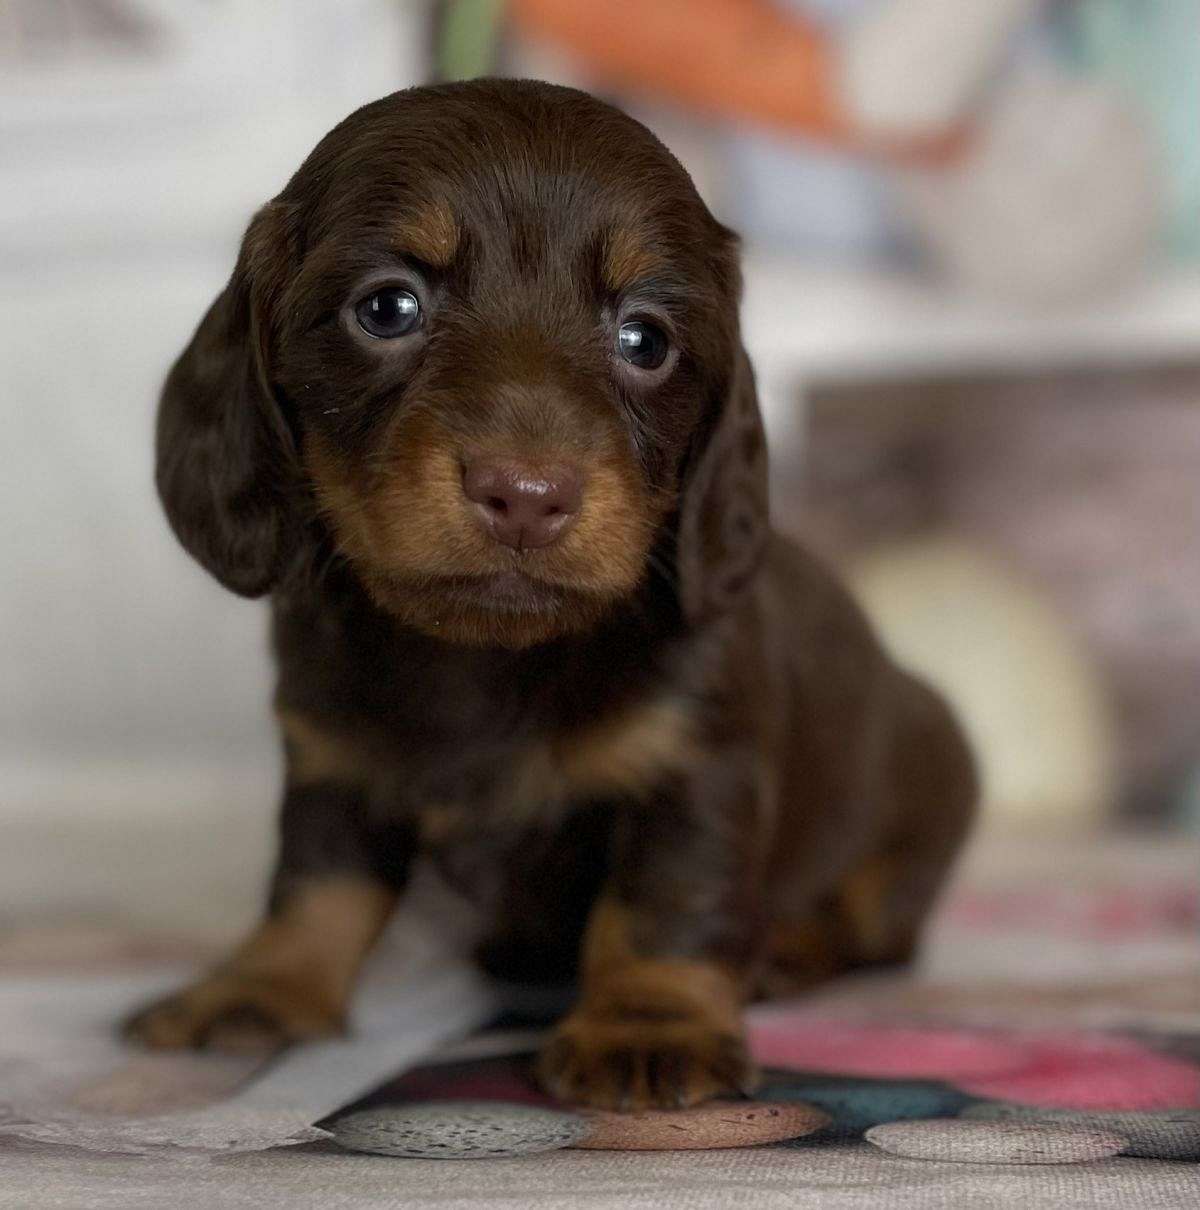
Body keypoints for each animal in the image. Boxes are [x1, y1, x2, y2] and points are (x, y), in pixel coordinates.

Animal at [128, 80, 977, 1108]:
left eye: (645, 338)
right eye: (387, 307)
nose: (526, 495)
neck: (486, 657)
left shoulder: (696, 768)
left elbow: (661, 903)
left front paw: (647, 1022)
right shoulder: (332, 761)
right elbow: (318, 883)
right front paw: (262, 985)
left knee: (873, 924)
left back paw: (788, 949)